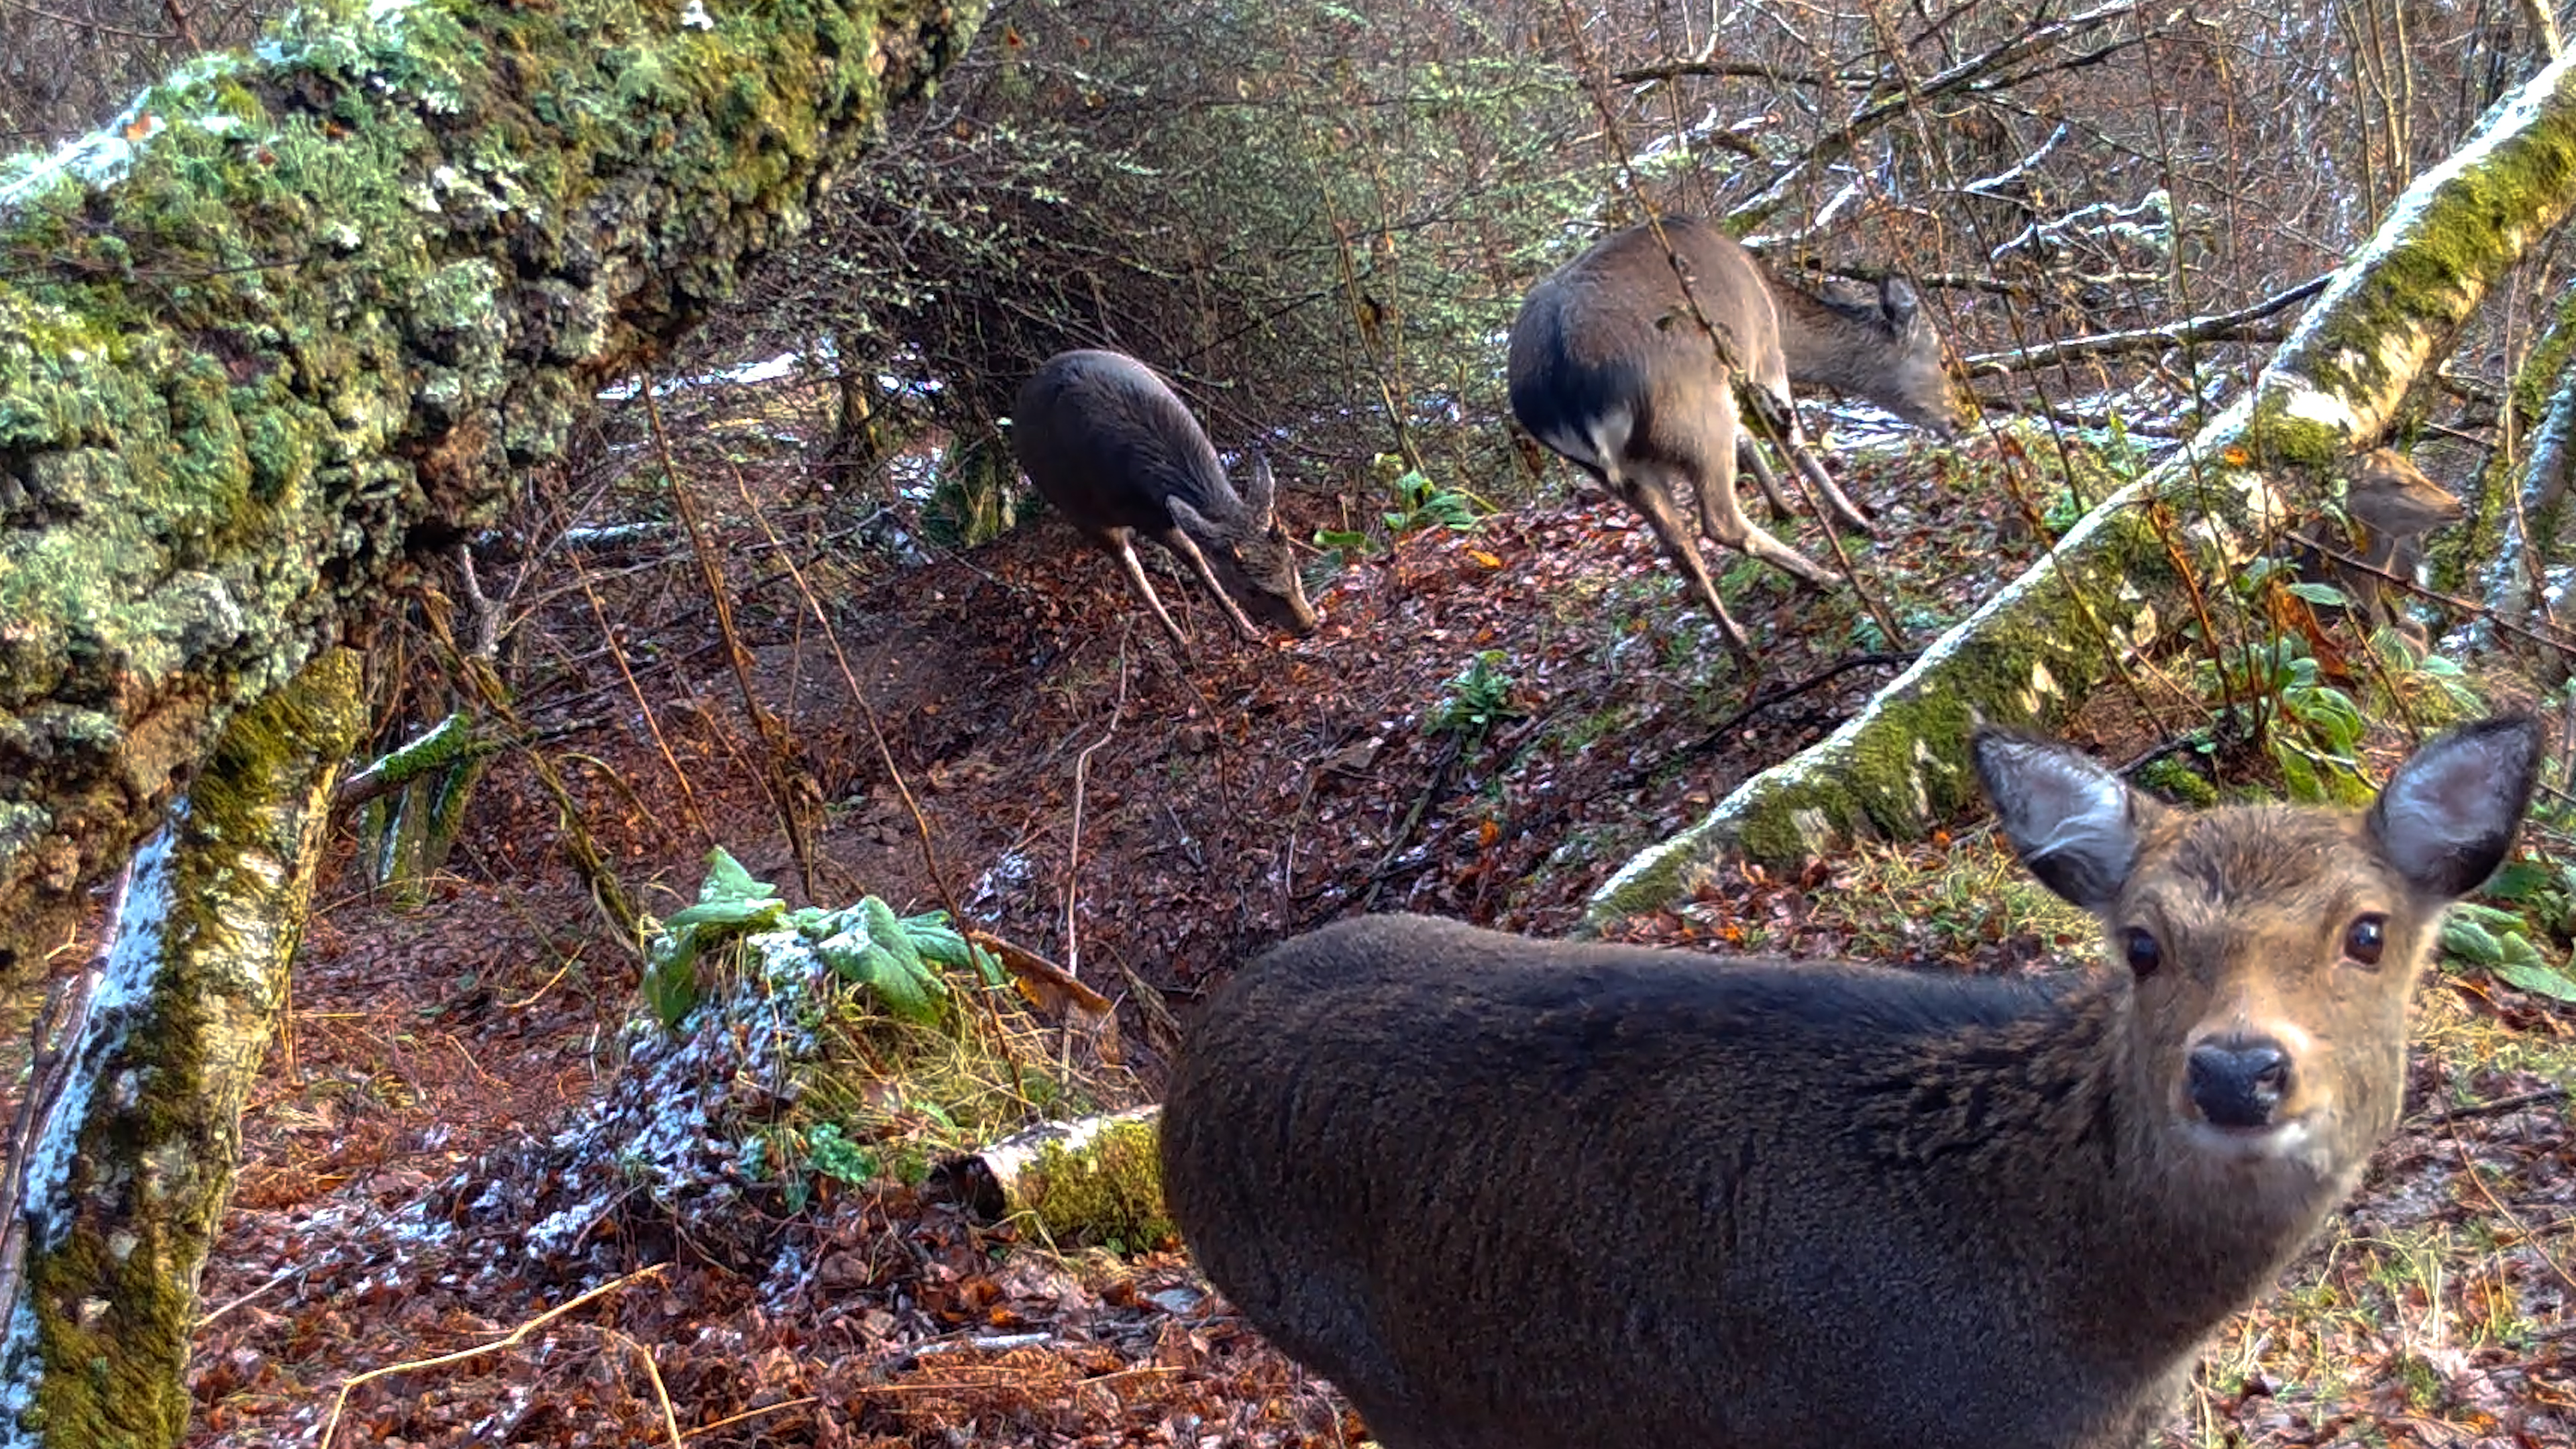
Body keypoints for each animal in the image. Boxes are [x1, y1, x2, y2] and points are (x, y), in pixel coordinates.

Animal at [1012, 348, 1318, 651]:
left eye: (1292, 562)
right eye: (1252, 589)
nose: (1309, 624)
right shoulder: (1144, 515)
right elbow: (1194, 554)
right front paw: (1245, 629)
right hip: (1077, 510)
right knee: (1131, 568)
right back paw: (1178, 639)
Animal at [1506, 215, 1963, 649]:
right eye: (1942, 358)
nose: (1959, 420)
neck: (1776, 309)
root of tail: (1561, 393)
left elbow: (1749, 434)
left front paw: (1784, 506)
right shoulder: (1763, 353)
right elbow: (1792, 438)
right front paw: (1855, 518)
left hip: (1611, 472)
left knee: (1678, 545)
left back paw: (1740, 643)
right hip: (1694, 416)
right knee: (1718, 521)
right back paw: (1822, 578)